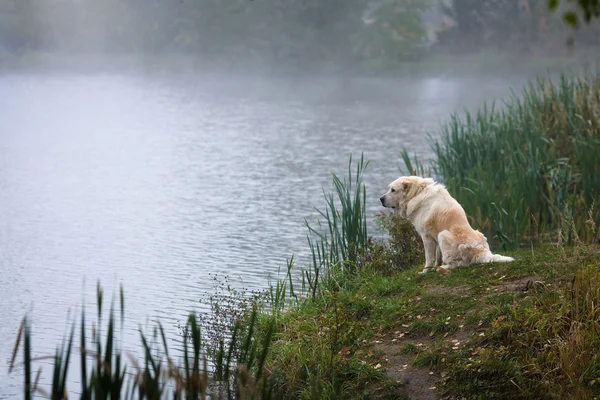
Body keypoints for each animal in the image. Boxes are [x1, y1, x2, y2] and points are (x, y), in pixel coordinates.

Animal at [380, 176, 516, 274]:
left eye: (393, 190)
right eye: (389, 189)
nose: (381, 199)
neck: (417, 193)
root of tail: (481, 252)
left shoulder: (427, 237)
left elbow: (428, 257)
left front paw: (425, 271)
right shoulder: (434, 237)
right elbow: (438, 256)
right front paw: (436, 266)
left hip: (443, 235)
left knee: (458, 264)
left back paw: (445, 268)